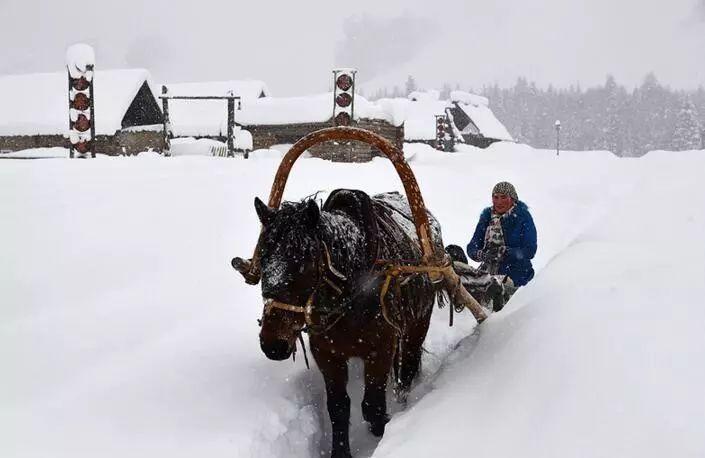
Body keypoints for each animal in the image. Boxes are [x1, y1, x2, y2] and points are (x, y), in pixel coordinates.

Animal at [239, 188, 442, 456]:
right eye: (262, 259)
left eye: (304, 264)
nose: (273, 345)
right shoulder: (327, 354)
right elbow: (338, 408)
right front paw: (340, 451)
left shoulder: (380, 349)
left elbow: (372, 405)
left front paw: (382, 433)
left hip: (417, 326)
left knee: (407, 367)